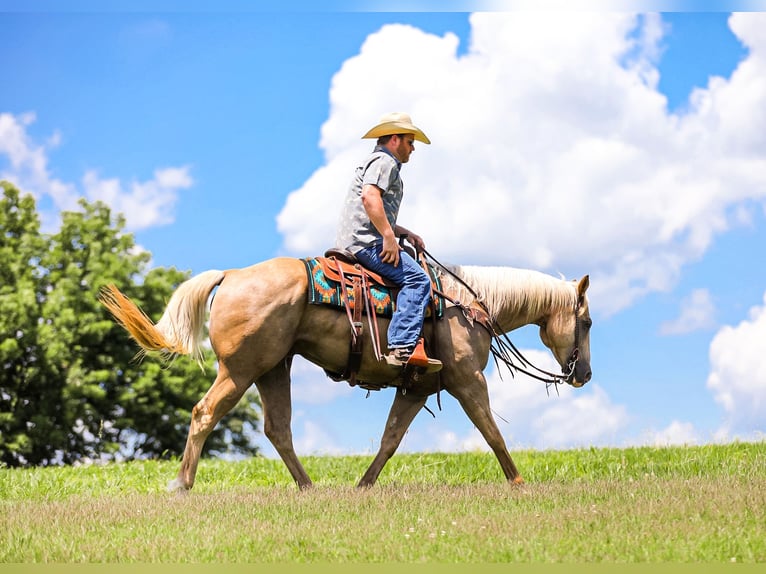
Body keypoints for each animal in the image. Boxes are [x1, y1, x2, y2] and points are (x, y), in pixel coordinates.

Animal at [100, 256, 592, 491]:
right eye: (586, 322)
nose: (583, 373)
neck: (465, 305)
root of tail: (232, 274)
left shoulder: (416, 389)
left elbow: (390, 439)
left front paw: (363, 485)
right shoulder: (467, 380)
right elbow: (491, 431)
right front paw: (519, 482)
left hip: (272, 369)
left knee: (278, 429)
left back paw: (309, 488)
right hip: (239, 371)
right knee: (205, 413)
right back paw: (182, 484)